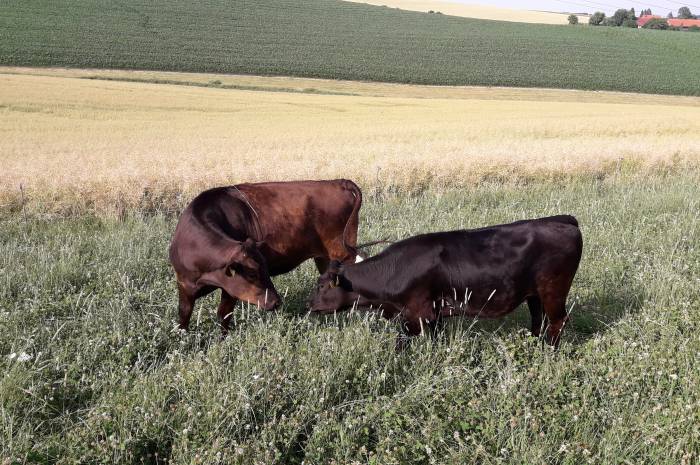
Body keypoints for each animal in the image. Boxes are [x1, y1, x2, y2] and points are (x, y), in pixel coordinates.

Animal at [171, 179, 360, 334]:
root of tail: (337, 181)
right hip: (324, 258)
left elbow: (224, 314)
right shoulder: (184, 284)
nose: (276, 302)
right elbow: (184, 315)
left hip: (341, 252)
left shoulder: (230, 288)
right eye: (252, 273)